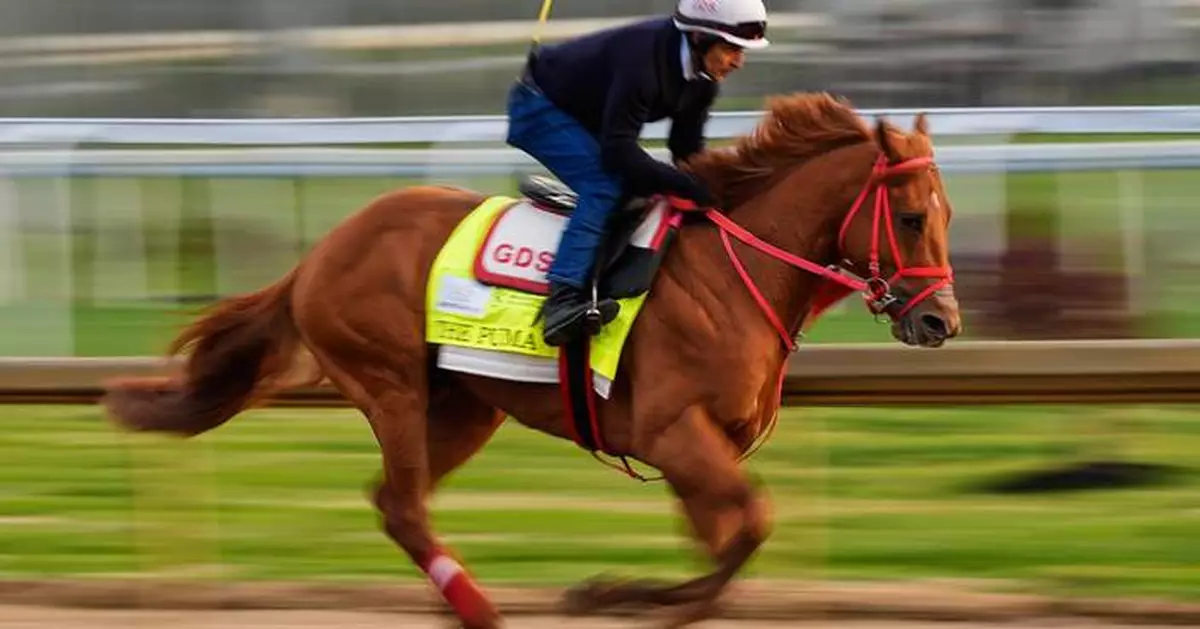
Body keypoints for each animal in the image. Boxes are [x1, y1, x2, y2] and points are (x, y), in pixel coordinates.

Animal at [101, 92, 961, 629]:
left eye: (946, 214)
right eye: (910, 217)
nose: (940, 320)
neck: (733, 271)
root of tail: (319, 254)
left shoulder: (704, 448)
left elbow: (726, 544)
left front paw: (624, 592)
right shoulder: (675, 433)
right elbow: (749, 528)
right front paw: (611, 594)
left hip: (464, 406)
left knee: (394, 501)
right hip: (392, 384)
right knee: (404, 505)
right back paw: (483, 609)